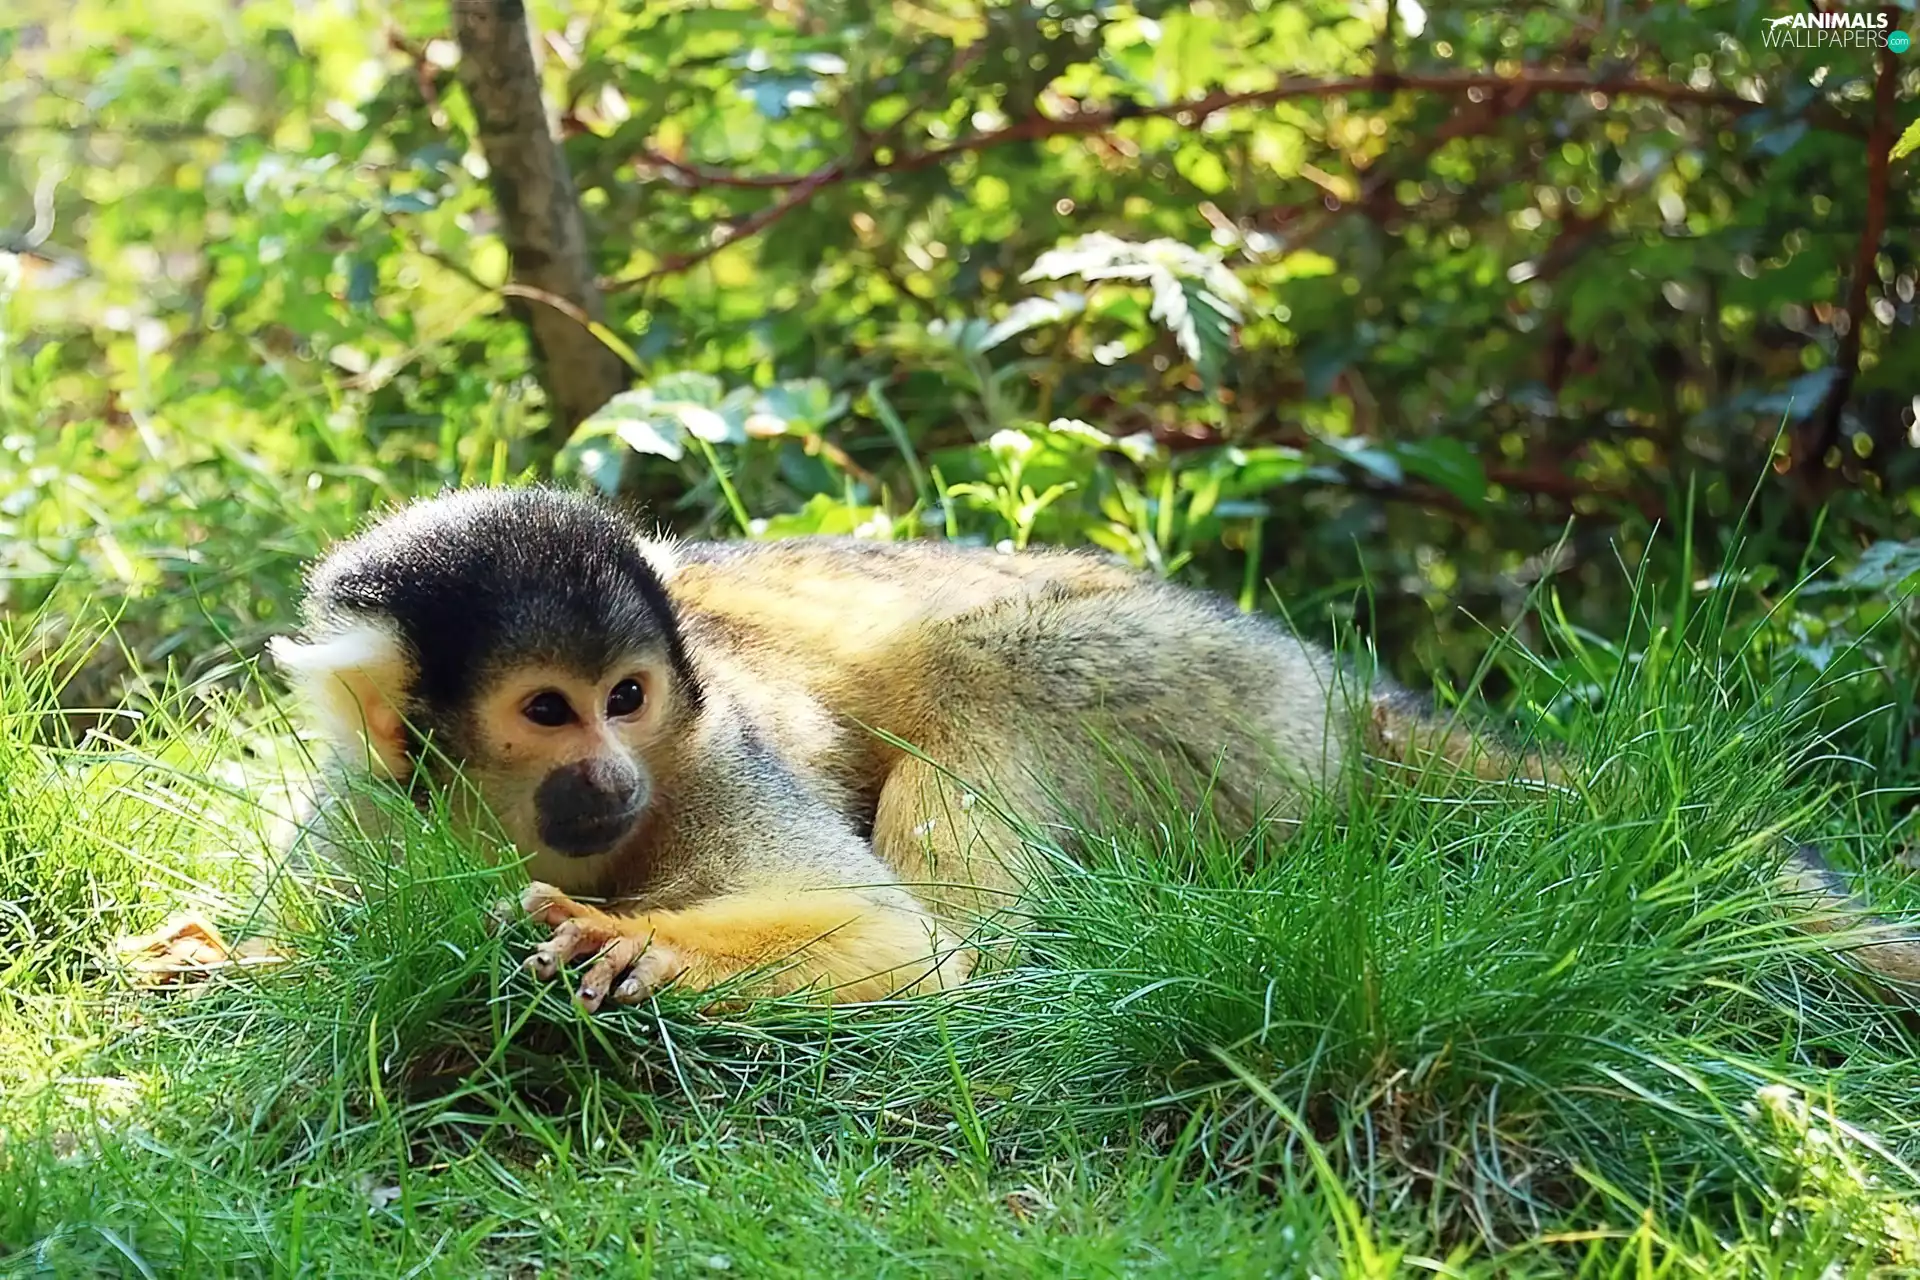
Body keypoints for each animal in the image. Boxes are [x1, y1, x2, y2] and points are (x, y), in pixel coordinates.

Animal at [119, 487, 1918, 1007]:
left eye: (628, 699)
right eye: (548, 713)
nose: (613, 779)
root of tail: (1336, 691)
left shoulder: (713, 757)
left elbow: (887, 938)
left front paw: (647, 944)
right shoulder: (365, 802)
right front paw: (241, 961)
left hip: (1202, 693)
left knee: (973, 678)